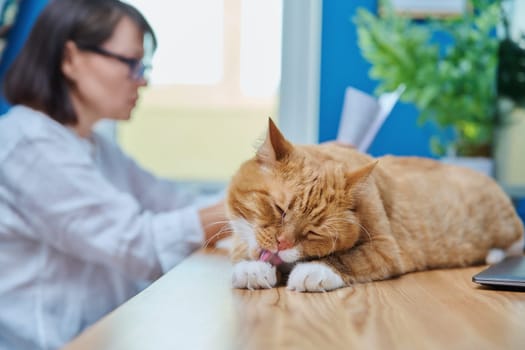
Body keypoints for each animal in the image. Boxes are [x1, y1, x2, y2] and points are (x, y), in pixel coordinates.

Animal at [226, 119, 524, 292]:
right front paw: (253, 267)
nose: (282, 244)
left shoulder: (385, 248)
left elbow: (349, 258)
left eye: (313, 232)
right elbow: (244, 249)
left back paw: (494, 256)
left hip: (506, 229)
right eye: (279, 209)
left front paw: (313, 270)